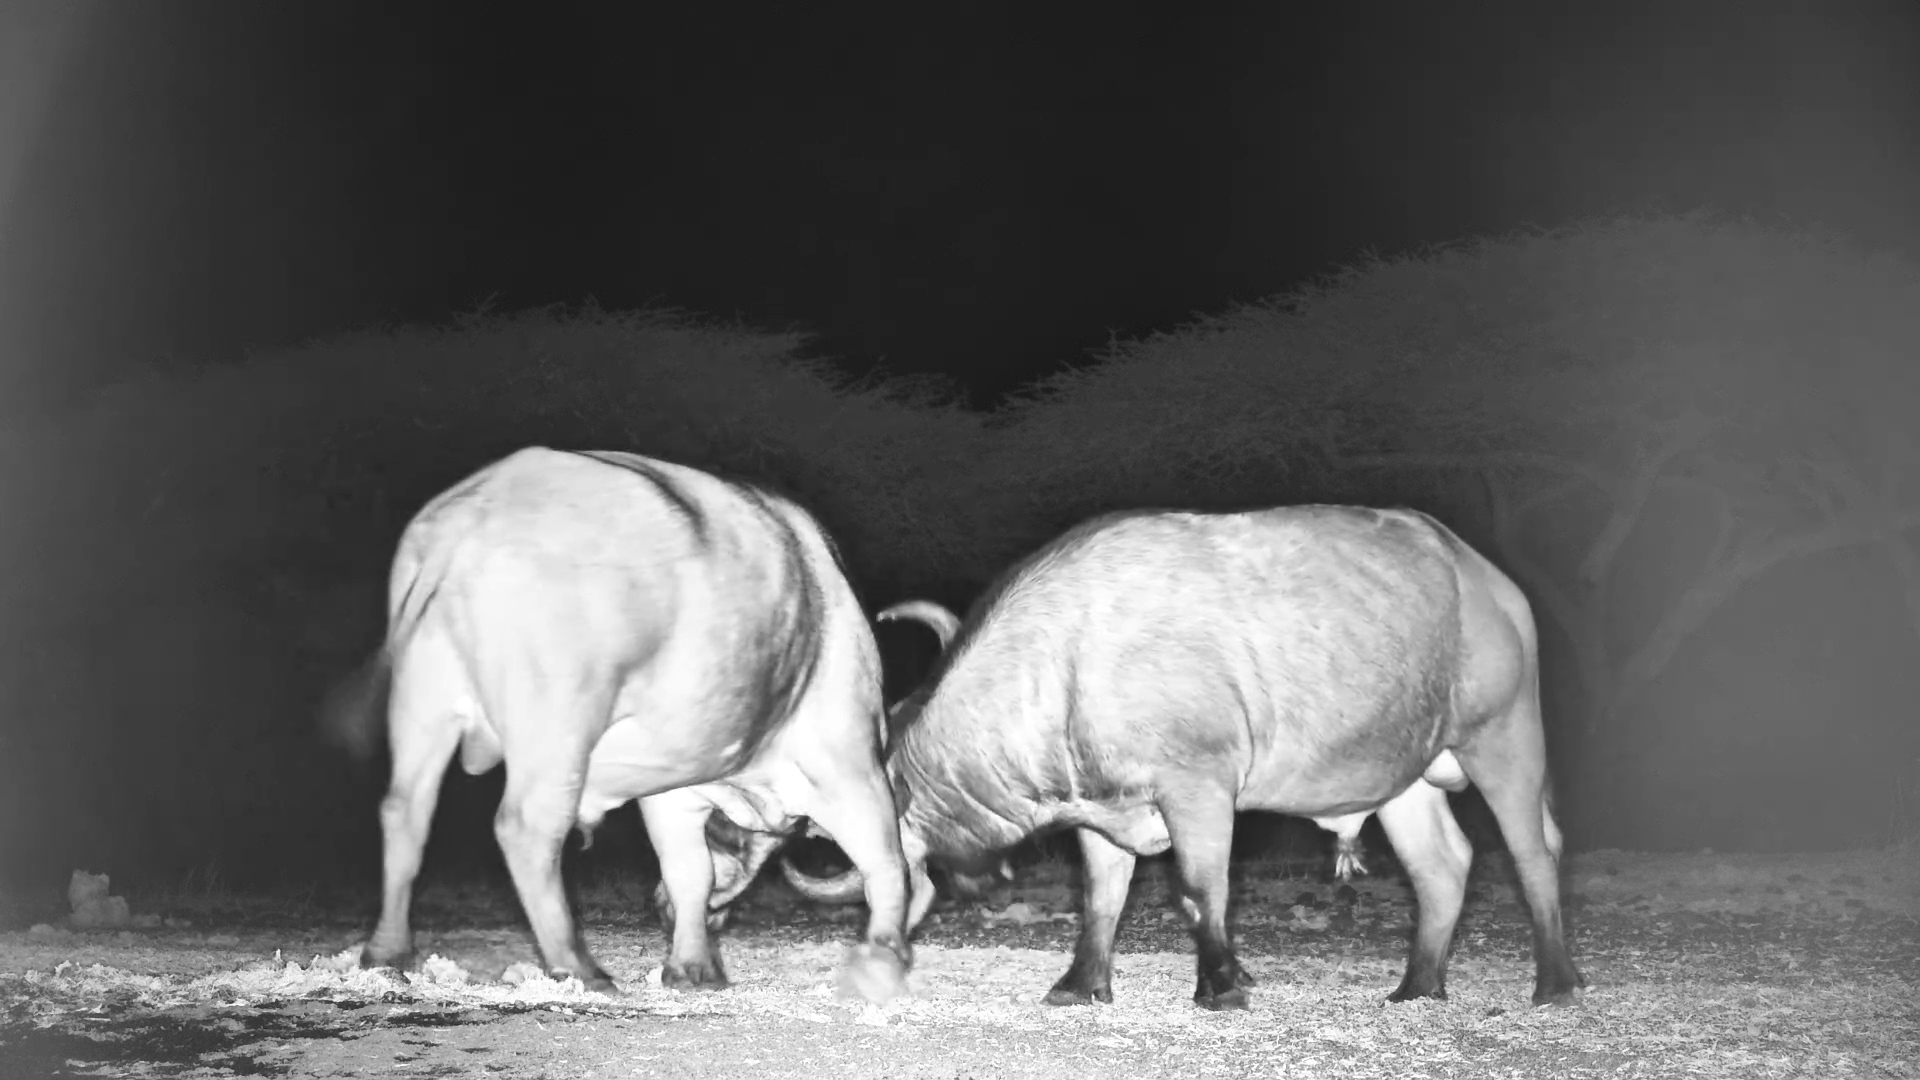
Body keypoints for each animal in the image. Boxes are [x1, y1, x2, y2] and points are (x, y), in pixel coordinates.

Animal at [324, 447, 913, 1001]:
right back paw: (578, 967)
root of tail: (474, 513)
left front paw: (692, 965)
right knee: (526, 827)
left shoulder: (673, 792)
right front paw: (888, 955)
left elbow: (689, 872)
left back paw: (387, 951)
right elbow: (886, 861)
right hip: (561, 722)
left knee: (405, 813)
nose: (660, 911)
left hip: (425, 702)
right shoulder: (849, 759)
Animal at [783, 505, 1585, 1010]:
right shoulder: (1099, 811)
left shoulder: (1198, 787)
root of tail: (1491, 583)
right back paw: (1417, 987)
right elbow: (1101, 898)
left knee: (1533, 850)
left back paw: (1555, 983)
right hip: (1402, 780)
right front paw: (1080, 985)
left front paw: (1222, 984)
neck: (1073, 653)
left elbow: (1202, 889)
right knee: (1442, 866)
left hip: (1505, 738)